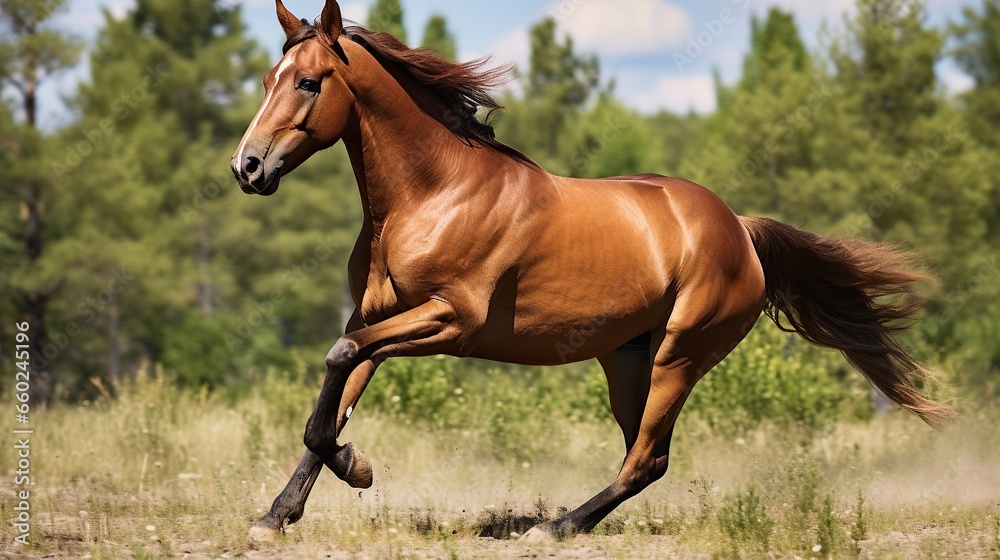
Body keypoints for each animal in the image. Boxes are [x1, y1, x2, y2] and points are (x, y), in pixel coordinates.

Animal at [231, 0, 952, 543]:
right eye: (269, 78)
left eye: (308, 82)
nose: (247, 166)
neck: (432, 194)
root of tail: (741, 230)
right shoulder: (381, 316)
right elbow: (336, 392)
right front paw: (278, 514)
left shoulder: (449, 321)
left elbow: (337, 365)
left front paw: (355, 468)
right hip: (626, 360)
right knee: (646, 453)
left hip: (680, 356)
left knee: (646, 458)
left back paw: (553, 528)